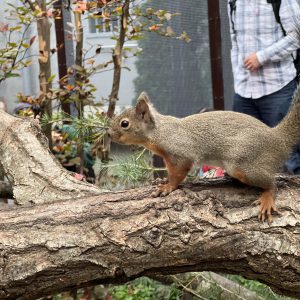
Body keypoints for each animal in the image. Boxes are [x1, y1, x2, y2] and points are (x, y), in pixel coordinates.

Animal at [108, 86, 300, 223]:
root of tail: (279, 140)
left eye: (124, 123)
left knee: (272, 183)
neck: (160, 132)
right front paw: (161, 181)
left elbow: (178, 174)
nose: (109, 134)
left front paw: (168, 187)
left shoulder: (181, 153)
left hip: (244, 165)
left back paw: (267, 196)